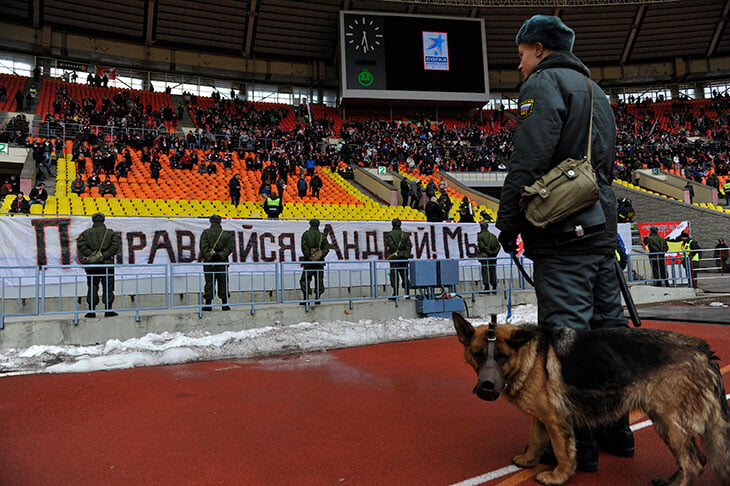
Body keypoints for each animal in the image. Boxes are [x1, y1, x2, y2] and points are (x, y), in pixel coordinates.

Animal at [450, 314, 728, 484]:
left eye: (502, 357)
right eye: (478, 354)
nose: (486, 388)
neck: (529, 354)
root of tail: (704, 351)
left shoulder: (555, 418)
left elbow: (562, 450)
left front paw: (558, 476)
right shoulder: (541, 417)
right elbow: (535, 441)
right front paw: (529, 461)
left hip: (670, 423)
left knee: (693, 463)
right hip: (664, 422)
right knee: (697, 459)